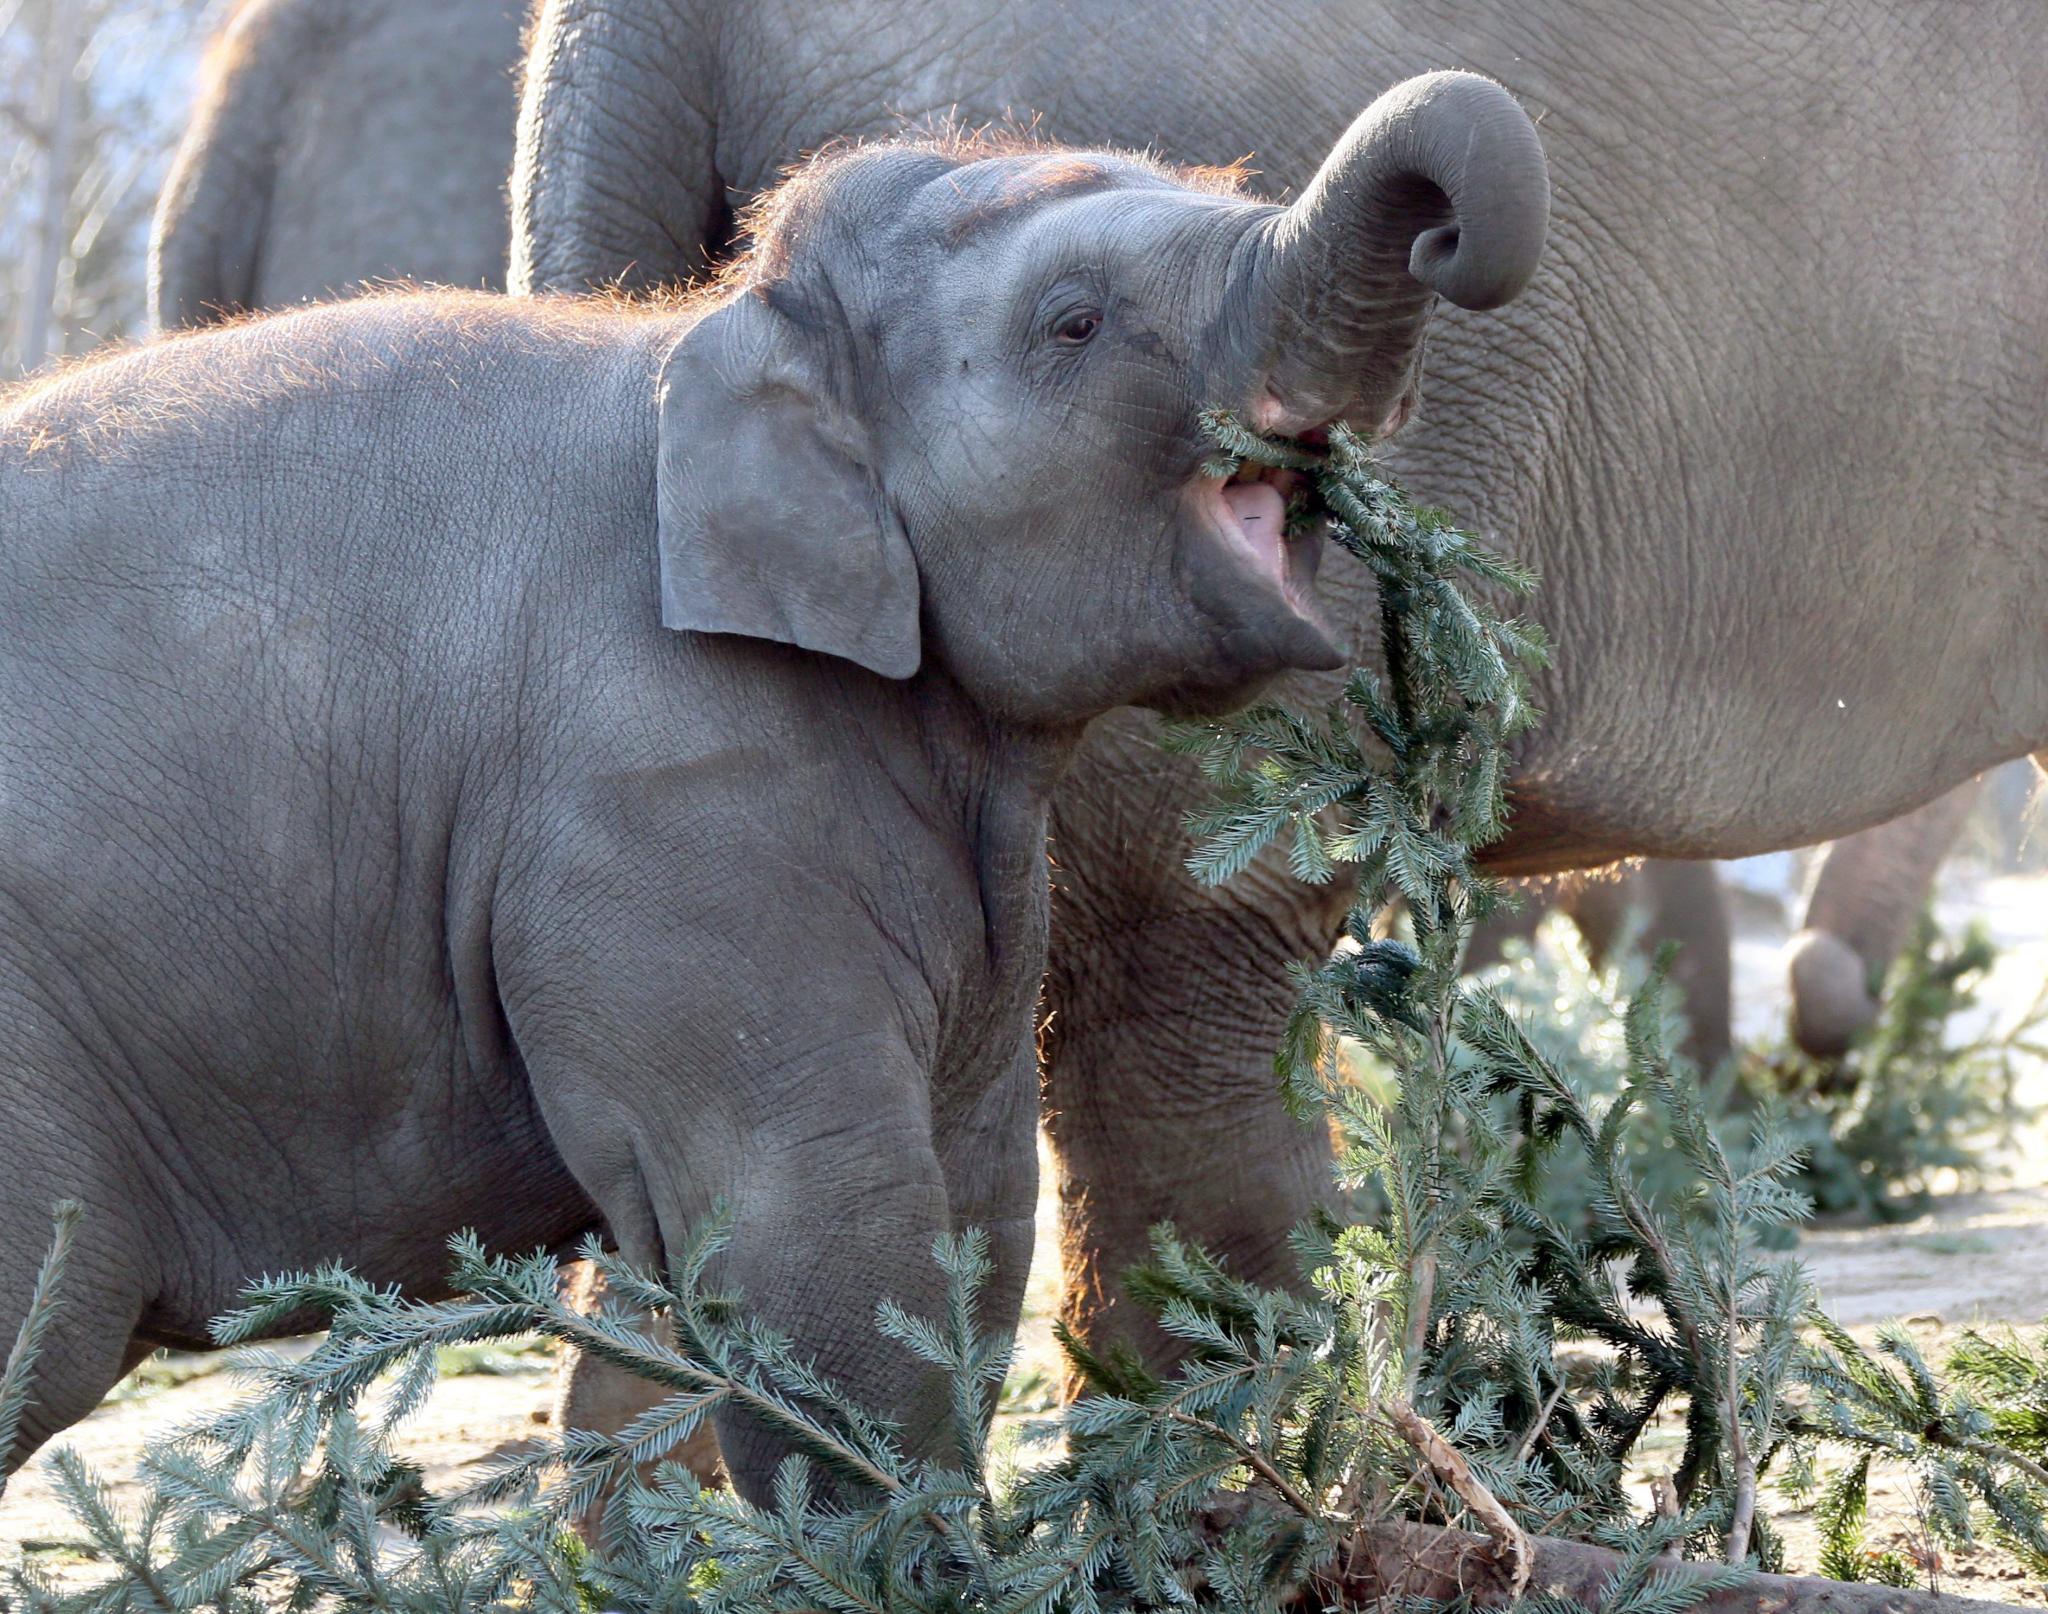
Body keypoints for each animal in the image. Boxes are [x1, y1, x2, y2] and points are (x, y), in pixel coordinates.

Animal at [0, 69, 1540, 1491]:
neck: (723, 330)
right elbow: (825, 1241)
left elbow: (977, 1208)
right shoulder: (667, 802)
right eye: (1076, 323)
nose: (1448, 237)